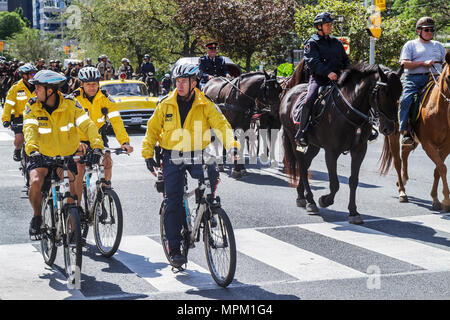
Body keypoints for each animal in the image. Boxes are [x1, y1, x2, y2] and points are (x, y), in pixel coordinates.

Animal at [280, 62, 402, 222]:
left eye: (399, 93)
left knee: (305, 165)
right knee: (301, 165)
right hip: (295, 141)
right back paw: (311, 201)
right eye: (384, 92)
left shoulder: (359, 150)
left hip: (313, 145)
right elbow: (335, 183)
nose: (390, 127)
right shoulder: (331, 152)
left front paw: (354, 212)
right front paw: (325, 200)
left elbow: (353, 181)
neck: (349, 110)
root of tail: (289, 92)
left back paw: (302, 196)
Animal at [380, 51, 450, 211]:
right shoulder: (428, 144)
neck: (439, 109)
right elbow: (442, 167)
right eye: (449, 77)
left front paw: (436, 199)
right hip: (393, 133)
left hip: (412, 138)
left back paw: (404, 180)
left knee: (405, 152)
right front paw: (446, 200)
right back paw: (402, 192)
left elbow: (438, 169)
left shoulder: (446, 146)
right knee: (397, 161)